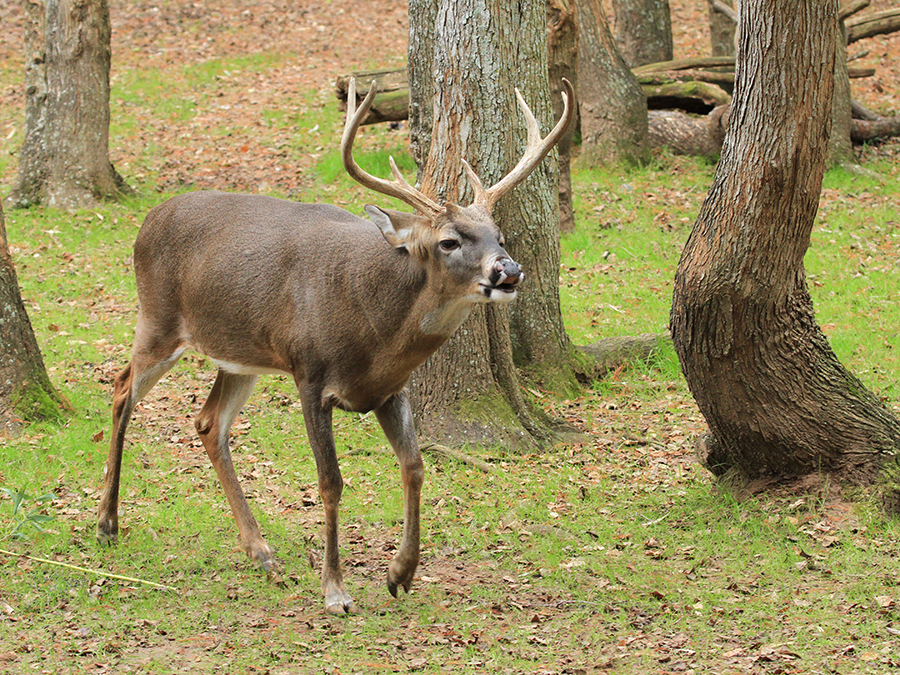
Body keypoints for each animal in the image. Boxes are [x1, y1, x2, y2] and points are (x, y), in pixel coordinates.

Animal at [98, 76, 576, 616]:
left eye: (499, 235)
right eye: (450, 241)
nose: (508, 271)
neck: (375, 335)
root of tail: (147, 220)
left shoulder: (392, 389)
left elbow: (414, 466)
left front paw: (400, 573)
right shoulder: (310, 373)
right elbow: (331, 482)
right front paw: (335, 591)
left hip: (242, 355)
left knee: (207, 421)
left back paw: (260, 550)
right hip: (158, 320)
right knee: (122, 389)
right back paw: (107, 524)